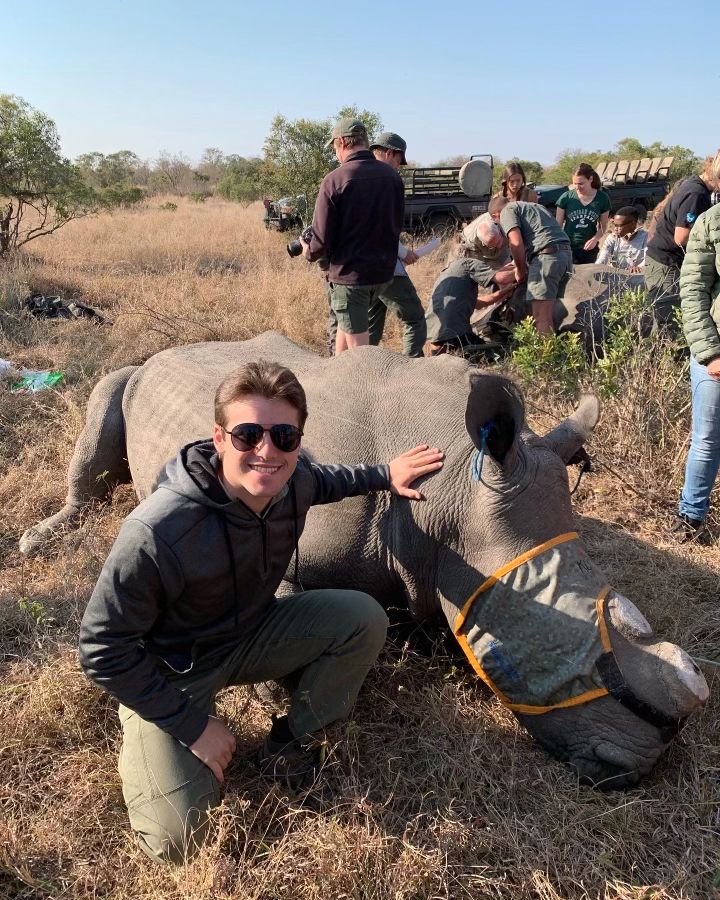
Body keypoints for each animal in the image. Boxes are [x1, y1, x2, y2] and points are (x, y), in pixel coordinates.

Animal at [22, 330, 708, 788]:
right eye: (563, 654)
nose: (640, 767)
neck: (454, 490)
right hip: (130, 377)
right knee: (104, 401)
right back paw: (40, 539)